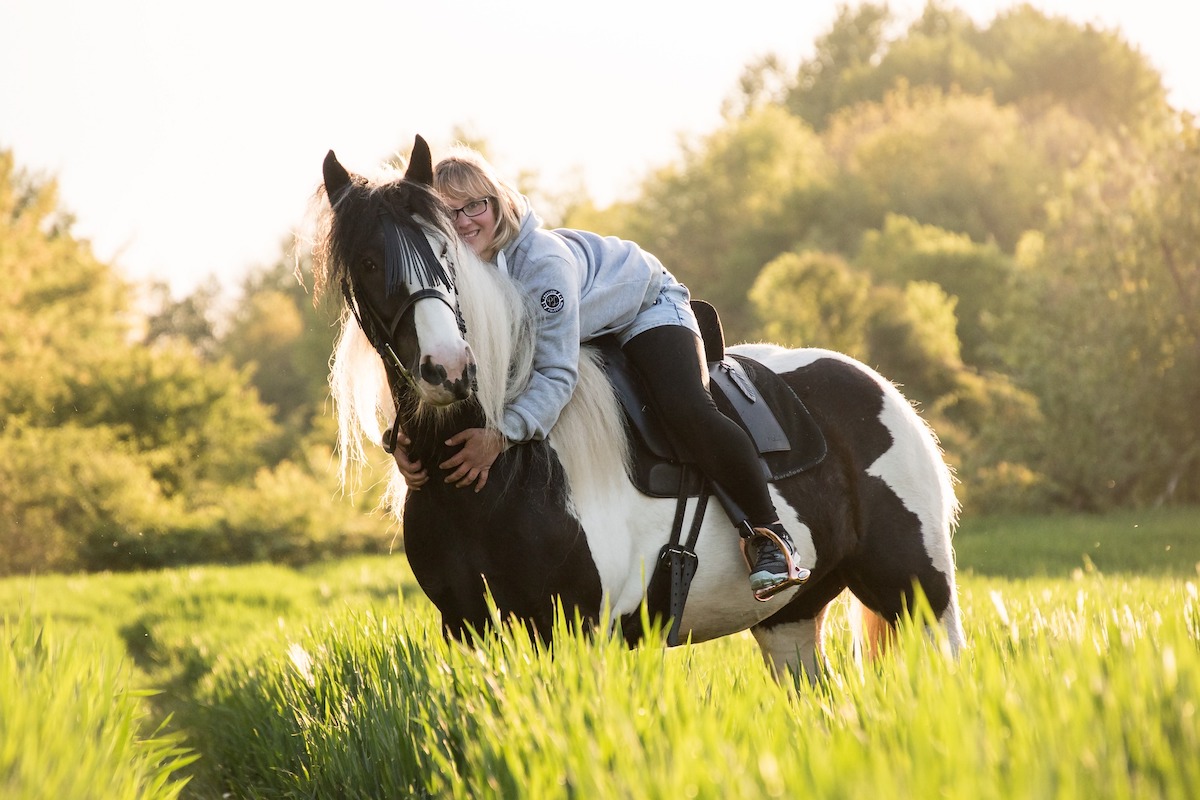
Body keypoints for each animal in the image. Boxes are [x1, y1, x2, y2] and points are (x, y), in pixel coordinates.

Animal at [310, 136, 964, 681]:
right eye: (368, 262)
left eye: (446, 251)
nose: (449, 368)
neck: (500, 479)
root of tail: (879, 388)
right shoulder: (467, 628)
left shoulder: (576, 629)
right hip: (790, 619)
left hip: (920, 592)